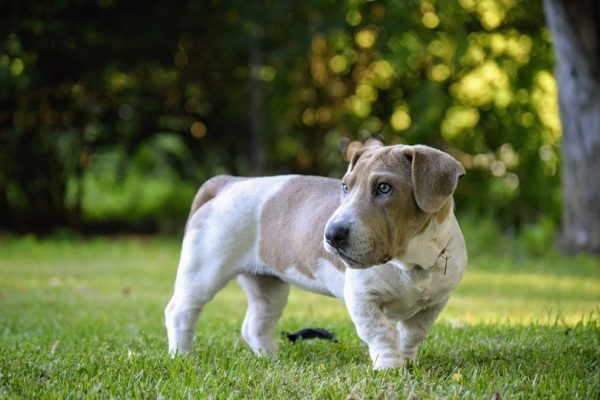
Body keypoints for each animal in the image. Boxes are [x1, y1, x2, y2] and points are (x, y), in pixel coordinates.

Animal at [165, 142, 468, 370]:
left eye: (384, 187)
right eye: (345, 187)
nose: (331, 234)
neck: (410, 262)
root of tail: (228, 183)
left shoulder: (435, 303)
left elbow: (412, 333)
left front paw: (407, 360)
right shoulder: (362, 299)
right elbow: (382, 333)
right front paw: (390, 367)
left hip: (268, 287)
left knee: (255, 325)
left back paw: (271, 360)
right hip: (204, 271)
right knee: (180, 312)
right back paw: (182, 355)